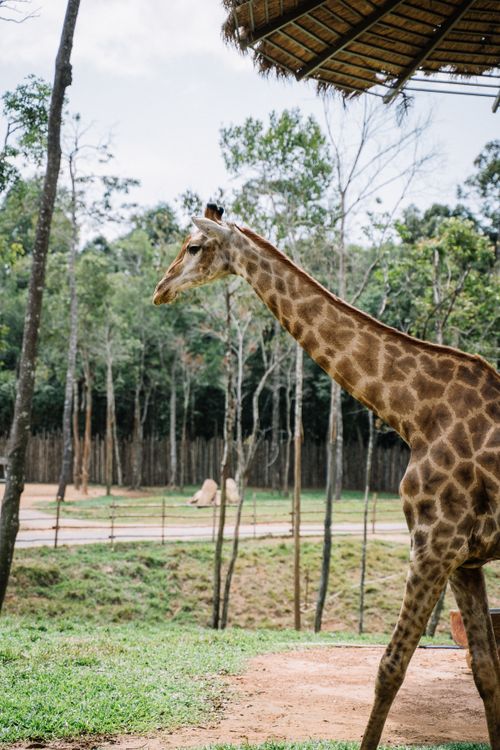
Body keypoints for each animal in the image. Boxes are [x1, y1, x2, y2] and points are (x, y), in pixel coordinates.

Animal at [153, 205, 500, 750]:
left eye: (193, 246)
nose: (161, 288)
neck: (417, 414)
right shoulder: (466, 559)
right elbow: (485, 670)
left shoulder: (434, 544)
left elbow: (390, 668)